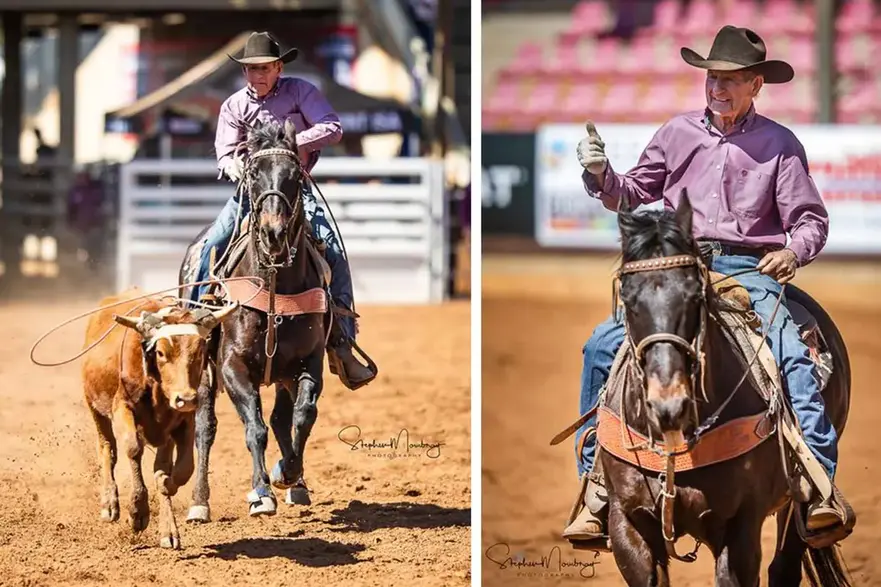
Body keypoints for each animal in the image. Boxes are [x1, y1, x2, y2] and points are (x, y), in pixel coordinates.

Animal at [179, 118, 330, 520]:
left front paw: (286, 473)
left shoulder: (308, 362)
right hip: (204, 368)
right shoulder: (233, 366)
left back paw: (296, 484)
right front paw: (261, 492)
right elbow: (254, 428)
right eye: (253, 174)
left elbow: (302, 416)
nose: (274, 233)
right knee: (205, 427)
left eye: (294, 176)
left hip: (281, 375)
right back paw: (199, 502)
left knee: (282, 417)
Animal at [600, 194, 848, 587]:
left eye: (693, 295)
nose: (668, 405)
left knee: (785, 565)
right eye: (628, 297)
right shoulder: (628, 522)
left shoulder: (741, 527)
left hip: (797, 503)